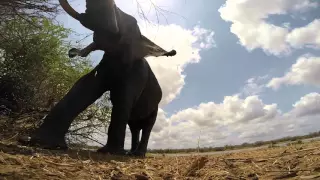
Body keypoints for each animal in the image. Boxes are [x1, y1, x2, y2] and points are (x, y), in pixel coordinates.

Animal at [18, 0, 178, 157]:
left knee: (147, 126)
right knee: (134, 127)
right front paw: (36, 143)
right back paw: (130, 153)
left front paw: (110, 152)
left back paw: (137, 155)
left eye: (131, 21)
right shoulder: (105, 65)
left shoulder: (138, 72)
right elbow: (84, 85)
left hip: (155, 107)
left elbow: (123, 97)